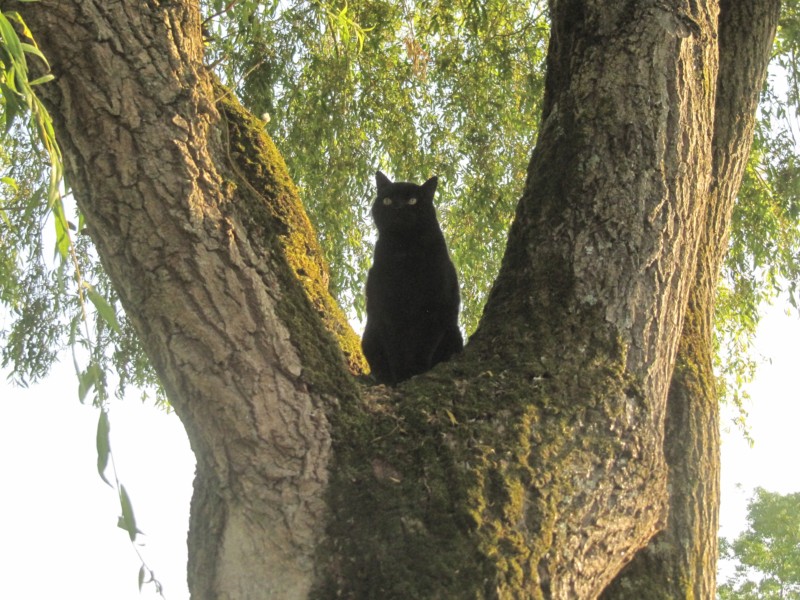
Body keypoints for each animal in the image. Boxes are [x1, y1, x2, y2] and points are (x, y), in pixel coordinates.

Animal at [362, 171, 462, 384]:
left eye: (412, 200)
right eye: (388, 200)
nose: (398, 207)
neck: (405, 251)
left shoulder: (435, 306)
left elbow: (424, 346)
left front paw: (416, 372)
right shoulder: (387, 309)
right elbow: (395, 348)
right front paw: (400, 377)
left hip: (453, 333)